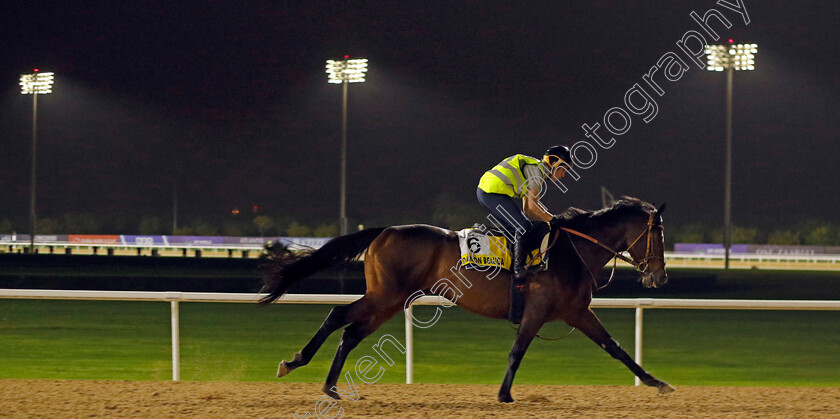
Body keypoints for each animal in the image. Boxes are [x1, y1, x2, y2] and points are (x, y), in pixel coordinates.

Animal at [260, 197, 672, 404]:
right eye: (658, 236)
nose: (660, 276)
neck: (571, 251)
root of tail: (384, 231)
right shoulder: (538, 310)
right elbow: (517, 350)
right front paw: (504, 394)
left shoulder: (577, 312)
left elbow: (615, 347)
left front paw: (657, 382)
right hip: (385, 294)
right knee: (337, 314)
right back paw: (294, 363)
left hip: (390, 301)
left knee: (351, 333)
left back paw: (330, 386)